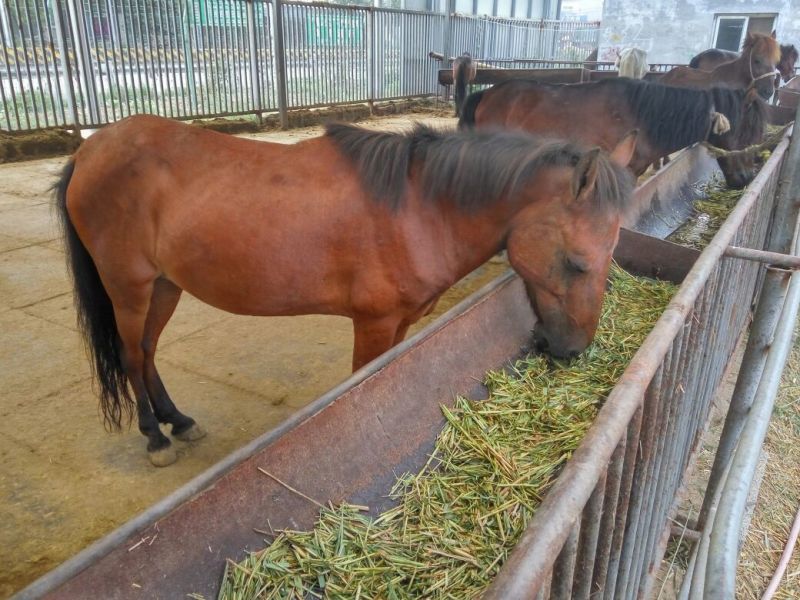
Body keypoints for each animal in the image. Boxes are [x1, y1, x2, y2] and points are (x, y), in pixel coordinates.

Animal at [55, 115, 637, 466]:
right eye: (579, 262)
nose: (572, 351)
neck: (420, 206)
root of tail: (90, 151)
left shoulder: (399, 323)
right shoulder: (373, 324)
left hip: (164, 286)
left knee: (149, 352)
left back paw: (178, 421)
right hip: (129, 288)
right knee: (132, 356)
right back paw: (155, 437)